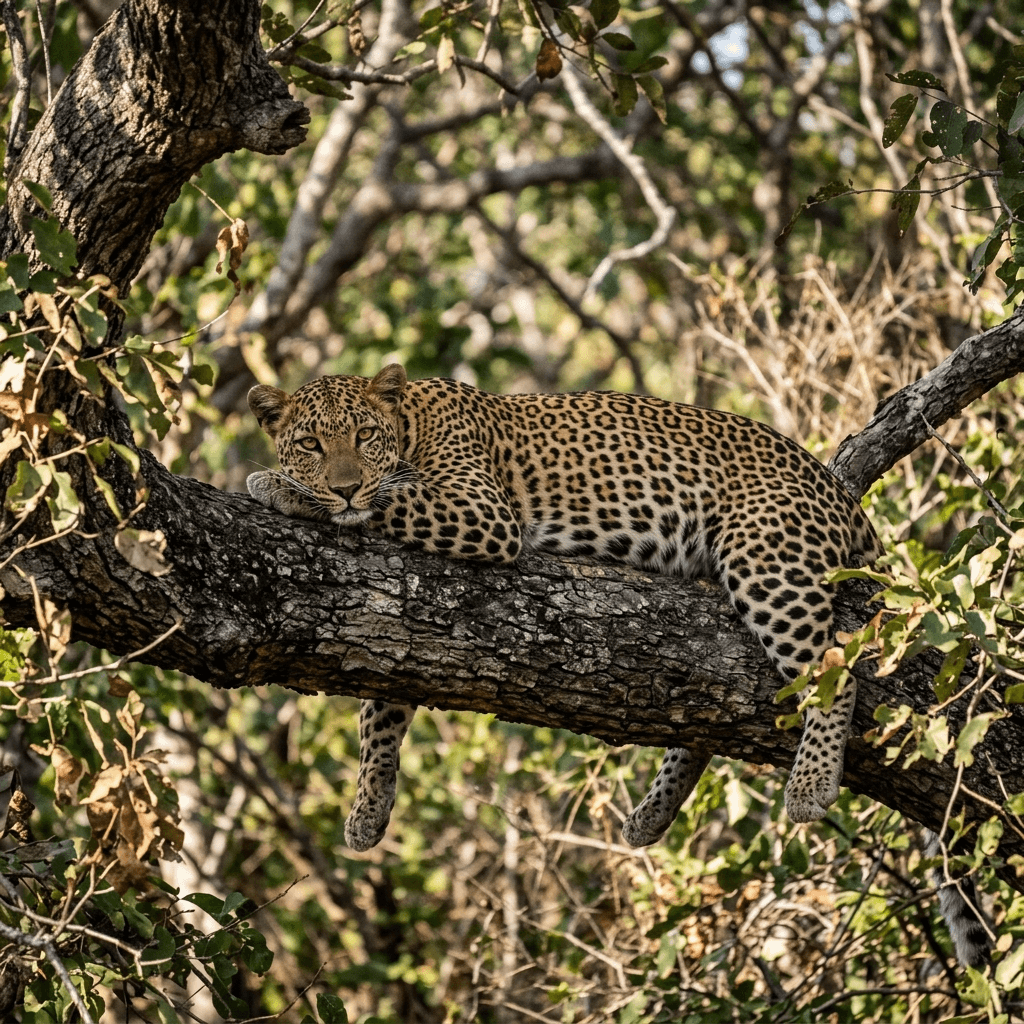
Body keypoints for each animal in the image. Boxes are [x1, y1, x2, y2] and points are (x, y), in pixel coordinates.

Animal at [246, 363, 886, 864]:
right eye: (310, 445)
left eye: (364, 435)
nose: (345, 486)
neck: (410, 427)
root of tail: (839, 493)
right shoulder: (403, 631)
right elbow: (380, 716)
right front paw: (369, 809)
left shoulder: (482, 512)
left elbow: (389, 498)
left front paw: (276, 486)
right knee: (704, 721)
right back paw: (650, 815)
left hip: (766, 558)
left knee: (835, 668)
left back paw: (810, 784)